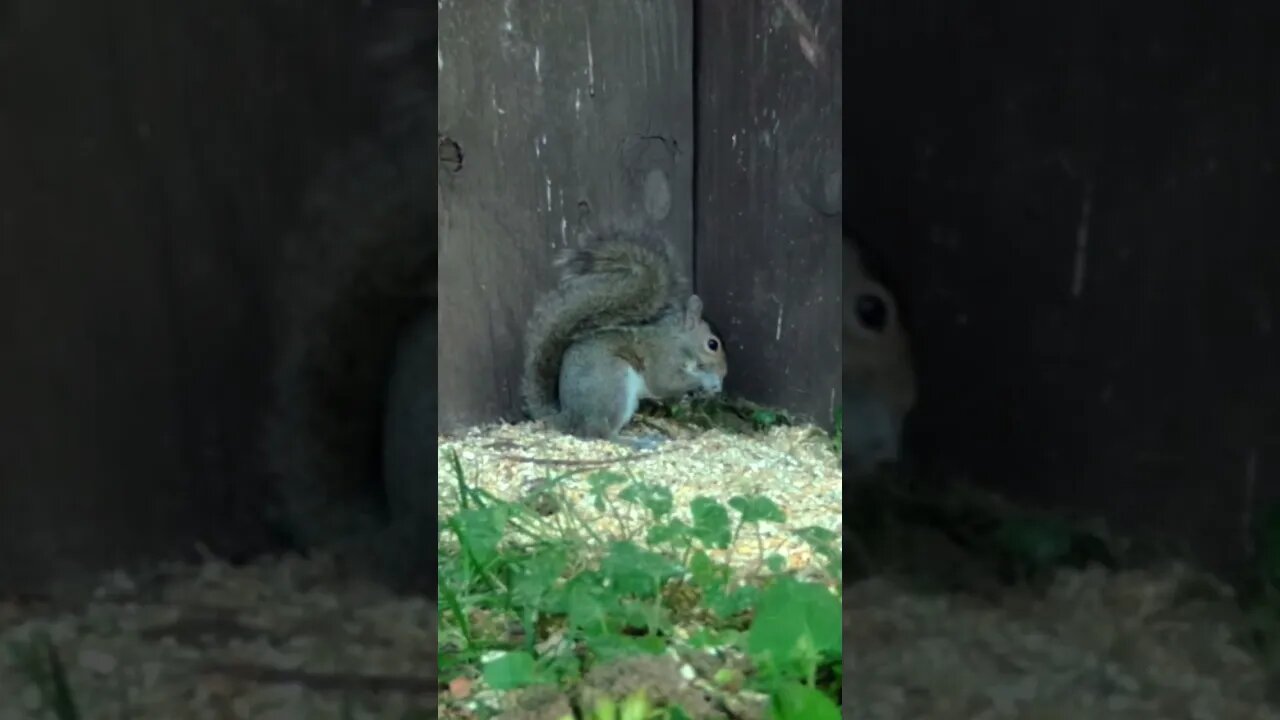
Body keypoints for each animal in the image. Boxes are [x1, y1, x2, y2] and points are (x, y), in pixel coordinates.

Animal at [514, 230, 727, 443]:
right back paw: (640, 442)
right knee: (601, 434)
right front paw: (710, 382)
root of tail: (567, 418)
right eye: (712, 344)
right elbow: (665, 383)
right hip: (614, 385)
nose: (724, 372)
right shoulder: (664, 359)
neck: (679, 341)